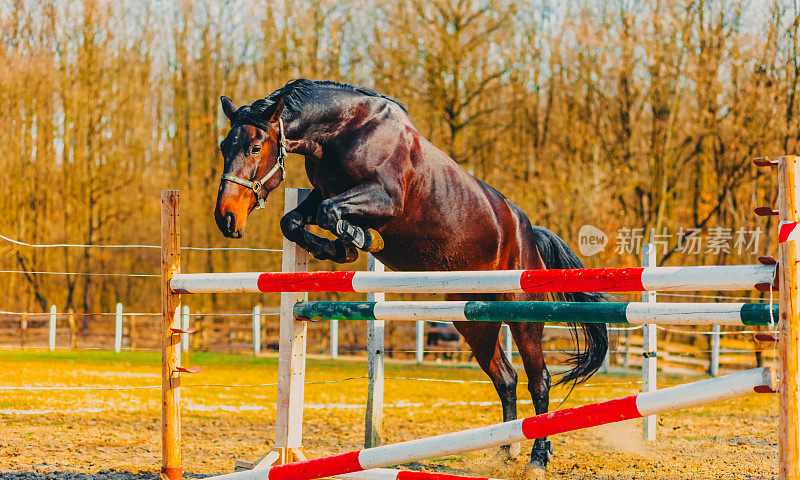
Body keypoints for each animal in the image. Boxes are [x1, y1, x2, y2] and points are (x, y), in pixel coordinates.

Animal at [212, 79, 608, 476]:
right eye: (223, 147)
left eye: (255, 147)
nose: (226, 218)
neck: (344, 131)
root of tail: (527, 231)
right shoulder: (323, 192)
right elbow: (293, 220)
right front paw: (339, 249)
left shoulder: (384, 198)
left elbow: (329, 212)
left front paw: (359, 240)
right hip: (473, 319)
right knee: (505, 377)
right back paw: (505, 452)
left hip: (523, 312)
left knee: (538, 380)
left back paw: (536, 459)